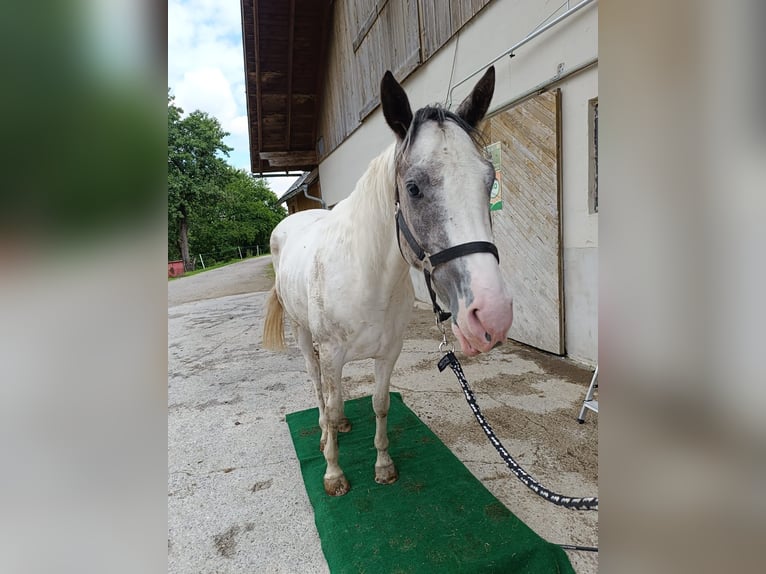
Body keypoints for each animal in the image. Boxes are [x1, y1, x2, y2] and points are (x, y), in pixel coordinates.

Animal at [263, 66, 513, 496]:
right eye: (413, 188)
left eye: (489, 180)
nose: (492, 315)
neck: (367, 278)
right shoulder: (331, 353)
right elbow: (329, 400)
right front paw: (333, 473)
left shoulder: (388, 354)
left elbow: (380, 405)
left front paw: (383, 466)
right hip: (303, 335)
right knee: (318, 387)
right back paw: (324, 432)